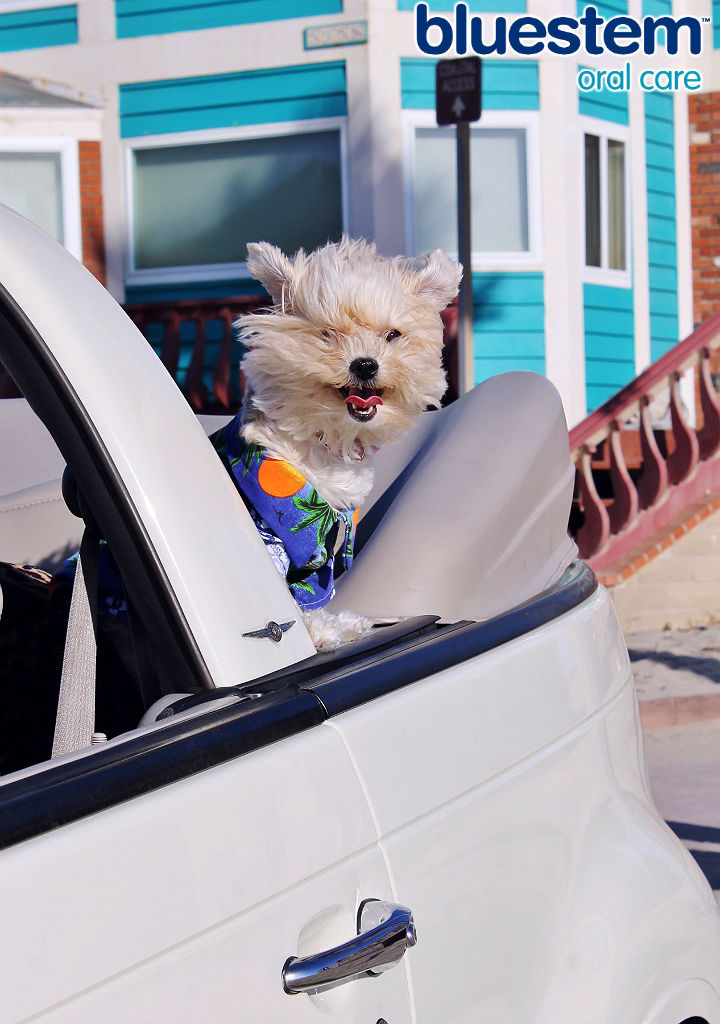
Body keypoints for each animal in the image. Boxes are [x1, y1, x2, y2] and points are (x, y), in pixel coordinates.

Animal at [214, 237, 462, 647]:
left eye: (392, 335)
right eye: (327, 334)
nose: (365, 364)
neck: (327, 440)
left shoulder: (321, 547)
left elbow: (314, 591)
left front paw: (338, 625)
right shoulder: (285, 539)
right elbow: (301, 598)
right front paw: (325, 633)